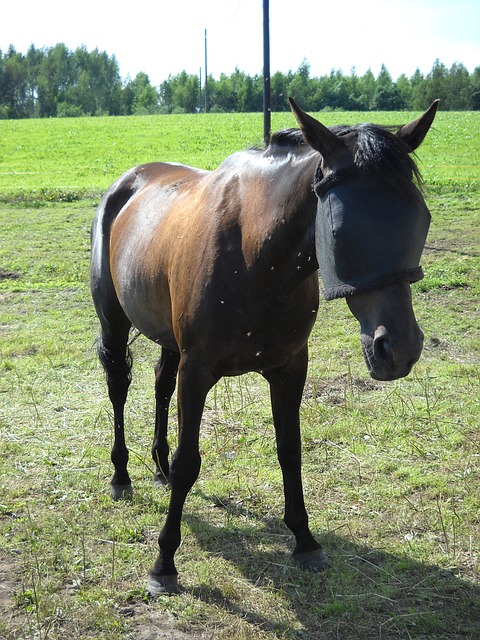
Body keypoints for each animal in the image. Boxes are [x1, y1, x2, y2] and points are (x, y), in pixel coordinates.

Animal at [90, 97, 438, 592]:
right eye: (339, 228)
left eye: (421, 218)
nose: (399, 349)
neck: (254, 253)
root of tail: (127, 182)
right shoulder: (198, 370)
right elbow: (189, 462)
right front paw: (164, 564)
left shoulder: (289, 367)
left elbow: (289, 450)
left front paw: (305, 540)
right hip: (115, 324)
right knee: (119, 387)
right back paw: (121, 475)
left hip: (167, 337)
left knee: (159, 387)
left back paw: (156, 467)